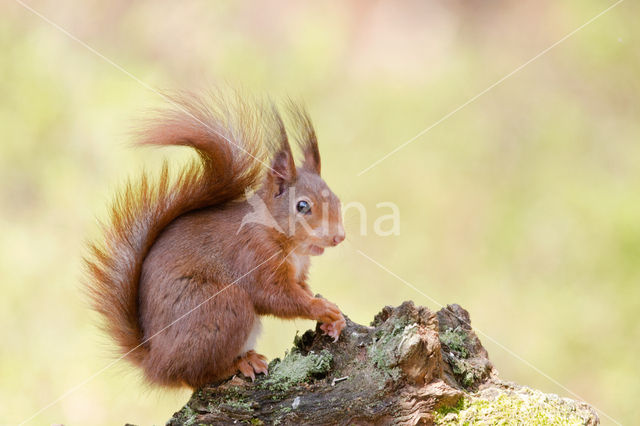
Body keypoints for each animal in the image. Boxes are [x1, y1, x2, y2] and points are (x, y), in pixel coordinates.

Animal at [86, 91, 344, 388]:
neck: (288, 244)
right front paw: (320, 308)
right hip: (222, 307)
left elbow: (301, 289)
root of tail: (155, 363)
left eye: (336, 199)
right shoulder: (253, 254)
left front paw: (334, 319)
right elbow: (276, 296)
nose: (339, 237)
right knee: (196, 374)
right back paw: (240, 363)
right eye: (302, 206)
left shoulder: (298, 272)